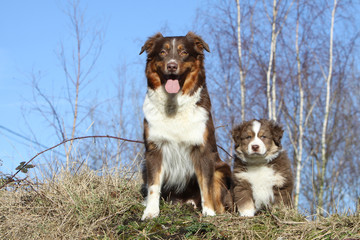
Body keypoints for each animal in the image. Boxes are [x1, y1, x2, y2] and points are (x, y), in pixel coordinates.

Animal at [139, 32, 232, 221]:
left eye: (184, 53)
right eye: (162, 52)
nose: (172, 65)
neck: (173, 105)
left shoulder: (203, 150)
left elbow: (206, 185)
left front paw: (209, 212)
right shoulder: (154, 150)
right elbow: (153, 185)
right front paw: (151, 212)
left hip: (221, 169)